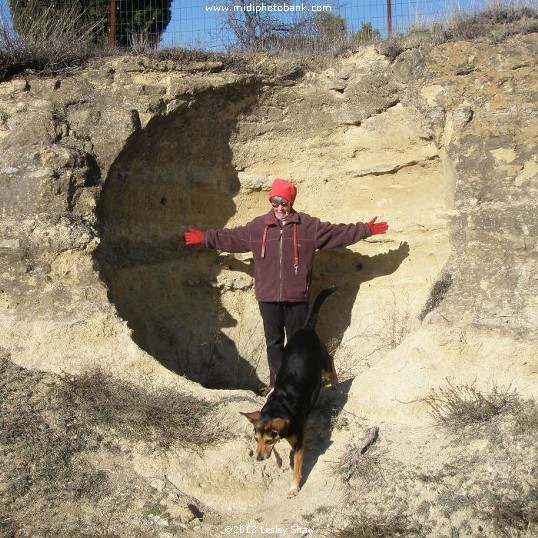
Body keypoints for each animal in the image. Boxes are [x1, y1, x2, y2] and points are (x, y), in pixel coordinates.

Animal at [241, 284, 338, 494]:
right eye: (256, 439)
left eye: (268, 441)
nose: (259, 458)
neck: (279, 406)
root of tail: (306, 328)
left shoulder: (299, 444)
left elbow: (297, 467)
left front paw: (294, 487)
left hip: (322, 362)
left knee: (331, 362)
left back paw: (334, 382)